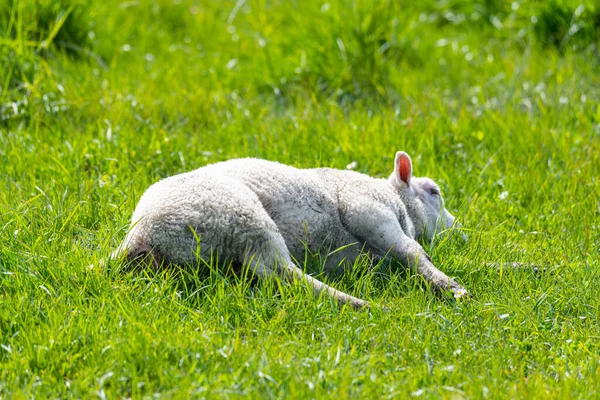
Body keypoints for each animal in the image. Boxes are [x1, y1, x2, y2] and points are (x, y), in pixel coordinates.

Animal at [112, 152, 468, 308]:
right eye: (434, 191)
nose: (462, 233)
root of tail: (140, 236)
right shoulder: (366, 207)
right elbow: (413, 250)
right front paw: (450, 286)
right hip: (241, 217)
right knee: (283, 273)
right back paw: (360, 304)